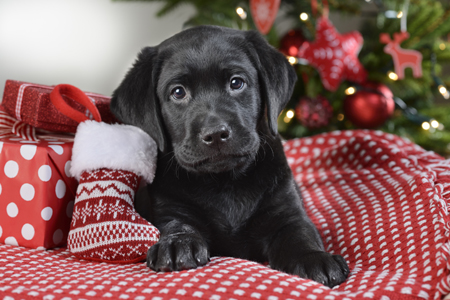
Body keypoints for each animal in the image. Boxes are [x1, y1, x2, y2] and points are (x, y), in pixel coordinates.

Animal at [110, 24, 350, 288]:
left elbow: (300, 233)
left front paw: (314, 258)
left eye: (236, 83)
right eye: (178, 92)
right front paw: (176, 244)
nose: (215, 133)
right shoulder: (170, 208)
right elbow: (178, 225)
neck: (225, 182)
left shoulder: (286, 211)